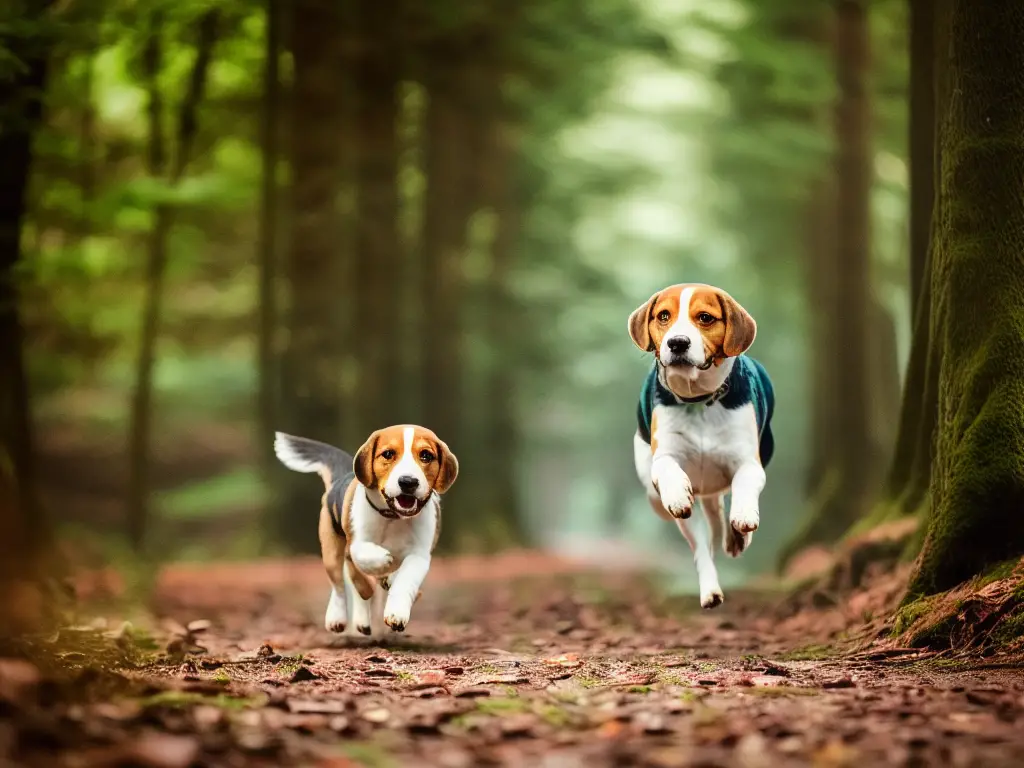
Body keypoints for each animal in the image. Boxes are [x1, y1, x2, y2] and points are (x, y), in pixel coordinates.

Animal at [276, 428, 460, 638]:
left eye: (426, 456)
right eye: (388, 454)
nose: (408, 482)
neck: (393, 517)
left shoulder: (419, 555)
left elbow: (405, 580)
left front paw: (397, 613)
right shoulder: (354, 547)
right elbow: (363, 570)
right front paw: (381, 560)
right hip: (332, 553)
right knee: (341, 586)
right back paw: (340, 617)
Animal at [626, 286, 770, 610]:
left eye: (705, 317)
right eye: (663, 316)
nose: (677, 342)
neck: (700, 399)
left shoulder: (750, 462)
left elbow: (744, 485)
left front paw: (743, 518)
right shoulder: (664, 454)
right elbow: (668, 467)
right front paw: (678, 493)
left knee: (720, 512)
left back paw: (735, 537)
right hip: (661, 497)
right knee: (703, 542)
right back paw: (710, 589)